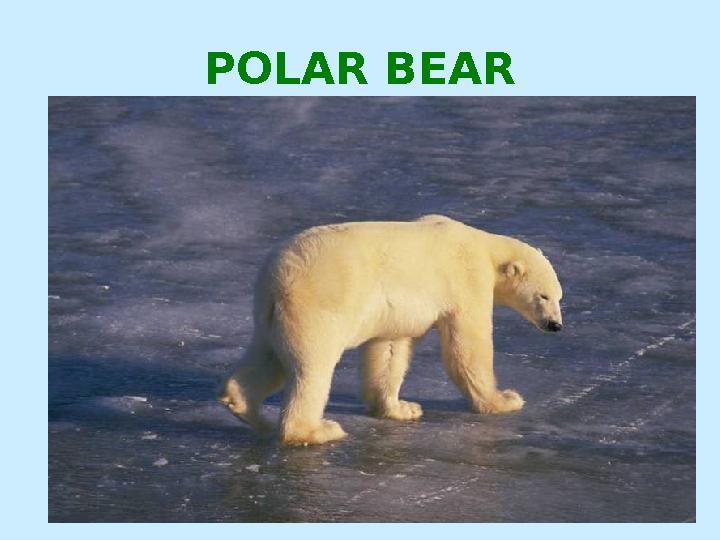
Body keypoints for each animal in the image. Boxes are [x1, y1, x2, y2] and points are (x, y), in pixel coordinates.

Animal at [220, 215, 563, 445]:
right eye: (543, 296)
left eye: (560, 298)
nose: (555, 325)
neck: (485, 248)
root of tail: (276, 278)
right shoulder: (466, 280)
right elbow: (467, 347)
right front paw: (504, 399)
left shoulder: (397, 313)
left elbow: (389, 350)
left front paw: (401, 408)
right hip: (316, 307)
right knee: (312, 368)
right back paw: (318, 430)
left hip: (270, 315)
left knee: (267, 358)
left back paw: (248, 410)